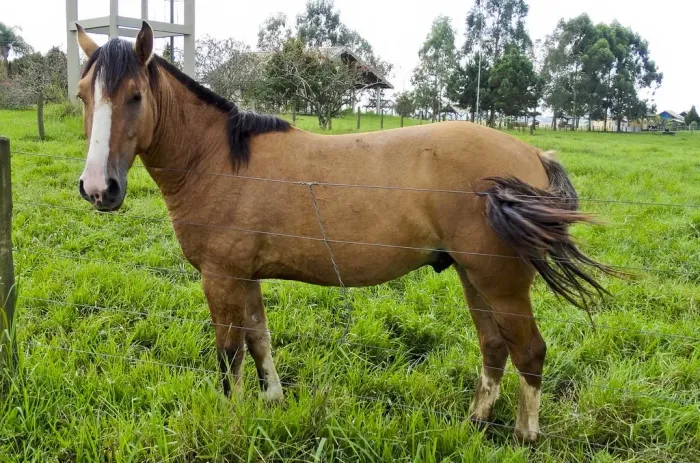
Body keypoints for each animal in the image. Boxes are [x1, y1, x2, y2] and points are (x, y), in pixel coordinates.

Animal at [73, 22, 614, 443]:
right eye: (82, 96)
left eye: (135, 96)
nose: (99, 189)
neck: (217, 159)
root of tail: (533, 153)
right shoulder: (245, 277)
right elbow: (259, 341)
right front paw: (273, 401)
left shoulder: (220, 278)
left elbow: (230, 358)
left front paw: (231, 421)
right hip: (474, 276)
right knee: (494, 348)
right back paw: (476, 423)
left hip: (501, 282)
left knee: (529, 351)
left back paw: (525, 434)